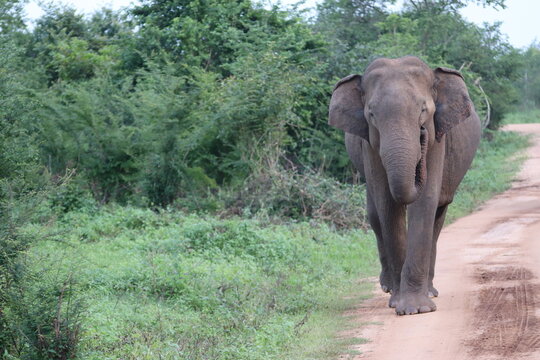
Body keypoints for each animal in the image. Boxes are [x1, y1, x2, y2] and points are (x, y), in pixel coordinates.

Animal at [330, 56, 480, 316]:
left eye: (423, 110)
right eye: (371, 114)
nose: (421, 132)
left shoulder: (437, 138)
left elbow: (424, 203)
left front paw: (417, 309)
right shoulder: (370, 145)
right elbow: (387, 204)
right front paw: (401, 305)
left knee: (438, 214)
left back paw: (429, 291)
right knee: (374, 214)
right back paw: (389, 288)